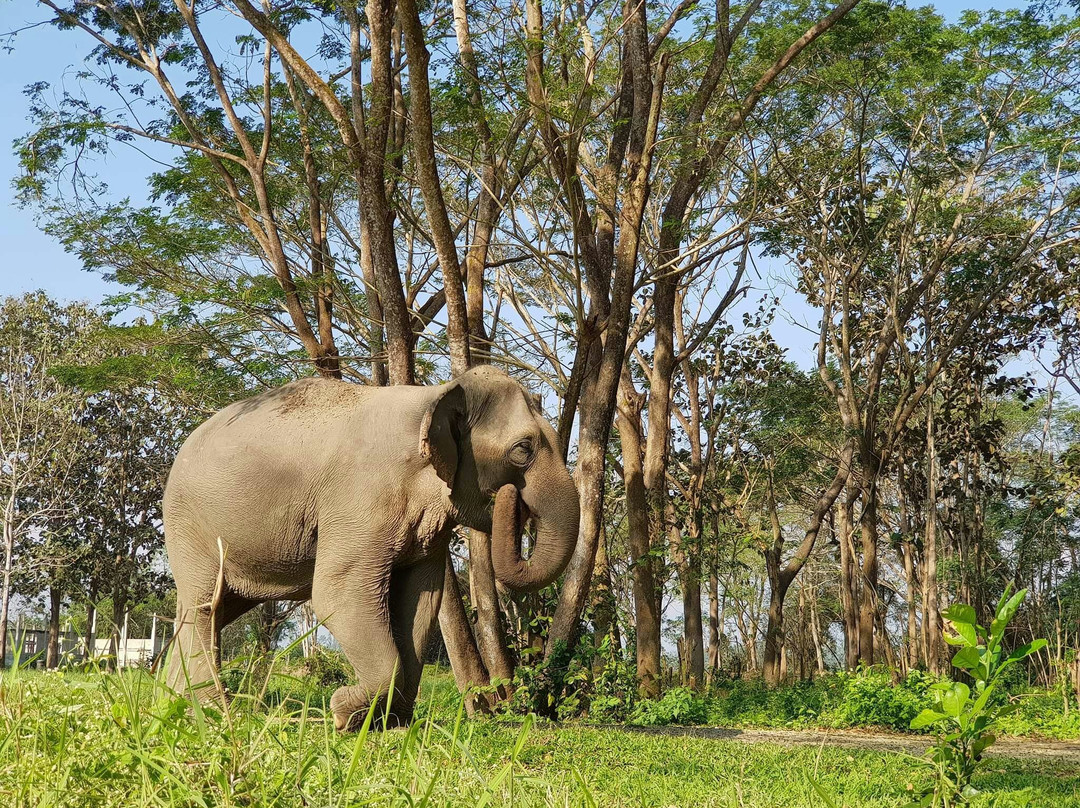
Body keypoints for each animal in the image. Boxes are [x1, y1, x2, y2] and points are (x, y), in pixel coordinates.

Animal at [160, 367, 578, 730]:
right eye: (523, 449)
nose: (511, 498)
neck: (433, 396)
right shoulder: (358, 502)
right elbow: (337, 594)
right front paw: (343, 714)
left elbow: (420, 601)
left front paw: (392, 724)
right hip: (190, 526)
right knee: (205, 607)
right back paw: (211, 713)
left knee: (208, 610)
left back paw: (177, 705)